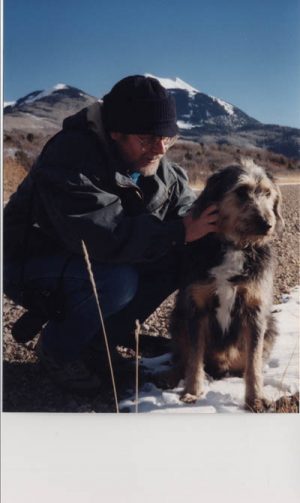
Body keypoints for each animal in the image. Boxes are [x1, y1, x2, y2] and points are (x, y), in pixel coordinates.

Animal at [162, 161, 284, 414]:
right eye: (241, 191)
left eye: (268, 193)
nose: (267, 224)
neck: (235, 245)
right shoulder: (196, 308)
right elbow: (194, 357)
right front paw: (191, 392)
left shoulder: (255, 310)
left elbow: (254, 362)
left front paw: (255, 398)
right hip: (177, 317)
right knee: (183, 356)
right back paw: (172, 375)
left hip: (271, 324)